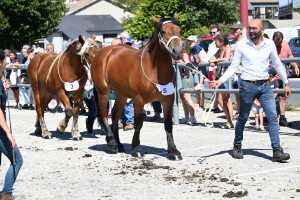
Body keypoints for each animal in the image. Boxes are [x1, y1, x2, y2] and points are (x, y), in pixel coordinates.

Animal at [91, 13, 182, 161]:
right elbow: (138, 123)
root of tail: (105, 51)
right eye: (163, 31)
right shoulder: (139, 100)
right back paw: (112, 143)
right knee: (104, 114)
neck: (154, 69)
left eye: (180, 30)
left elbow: (168, 124)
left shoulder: (167, 99)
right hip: (103, 92)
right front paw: (137, 149)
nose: (177, 51)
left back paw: (119, 144)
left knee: (115, 115)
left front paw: (173, 151)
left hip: (121, 95)